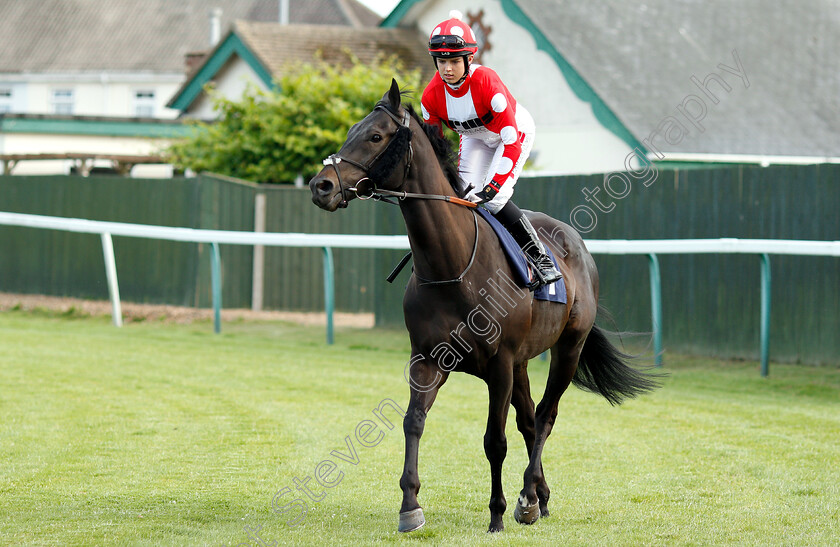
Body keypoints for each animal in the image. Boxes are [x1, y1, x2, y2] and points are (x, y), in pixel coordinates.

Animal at [312, 79, 660, 532]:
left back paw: (527, 498)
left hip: (568, 347)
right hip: (524, 361)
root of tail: (578, 246)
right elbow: (412, 422)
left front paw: (497, 513)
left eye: (374, 135)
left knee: (545, 416)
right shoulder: (428, 358)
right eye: (352, 129)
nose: (321, 186)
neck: (452, 265)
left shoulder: (499, 363)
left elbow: (495, 440)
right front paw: (410, 506)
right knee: (529, 419)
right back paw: (540, 497)